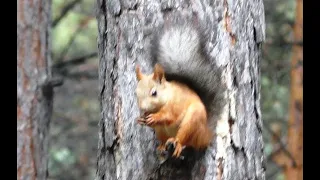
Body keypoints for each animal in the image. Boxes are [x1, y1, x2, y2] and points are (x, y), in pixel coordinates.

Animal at [135, 15, 222, 159]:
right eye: (136, 94)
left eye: (154, 93)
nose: (143, 108)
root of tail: (204, 135)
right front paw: (141, 119)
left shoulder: (175, 105)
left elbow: (169, 116)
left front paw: (155, 117)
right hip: (161, 131)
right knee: (163, 139)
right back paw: (161, 147)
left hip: (191, 122)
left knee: (184, 139)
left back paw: (177, 143)